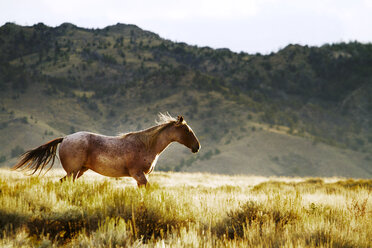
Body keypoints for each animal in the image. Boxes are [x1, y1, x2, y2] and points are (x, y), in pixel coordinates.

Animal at [12, 113, 201, 186]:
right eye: (187, 130)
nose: (197, 147)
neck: (146, 145)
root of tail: (65, 138)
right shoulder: (139, 174)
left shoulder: (140, 177)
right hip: (74, 171)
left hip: (78, 171)